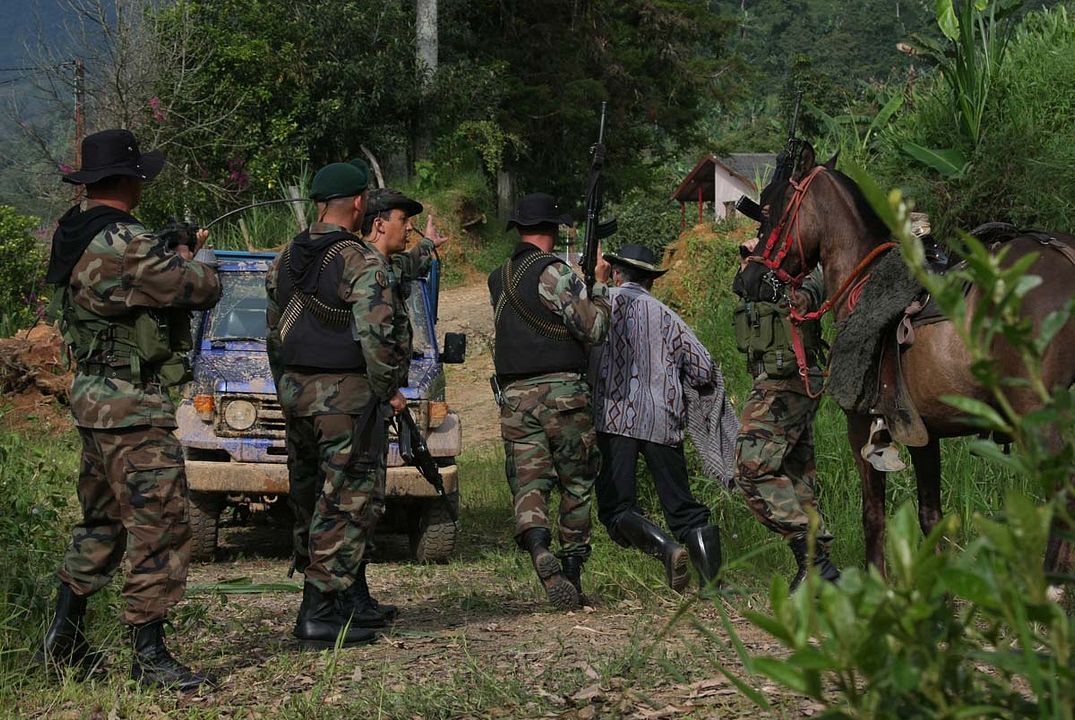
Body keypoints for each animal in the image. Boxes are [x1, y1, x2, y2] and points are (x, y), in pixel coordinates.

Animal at [743, 145, 1075, 576]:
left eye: (769, 211)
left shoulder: (861, 425)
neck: (862, 280)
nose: (746, 281)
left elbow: (873, 516)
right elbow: (931, 517)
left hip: (1036, 414)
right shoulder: (924, 432)